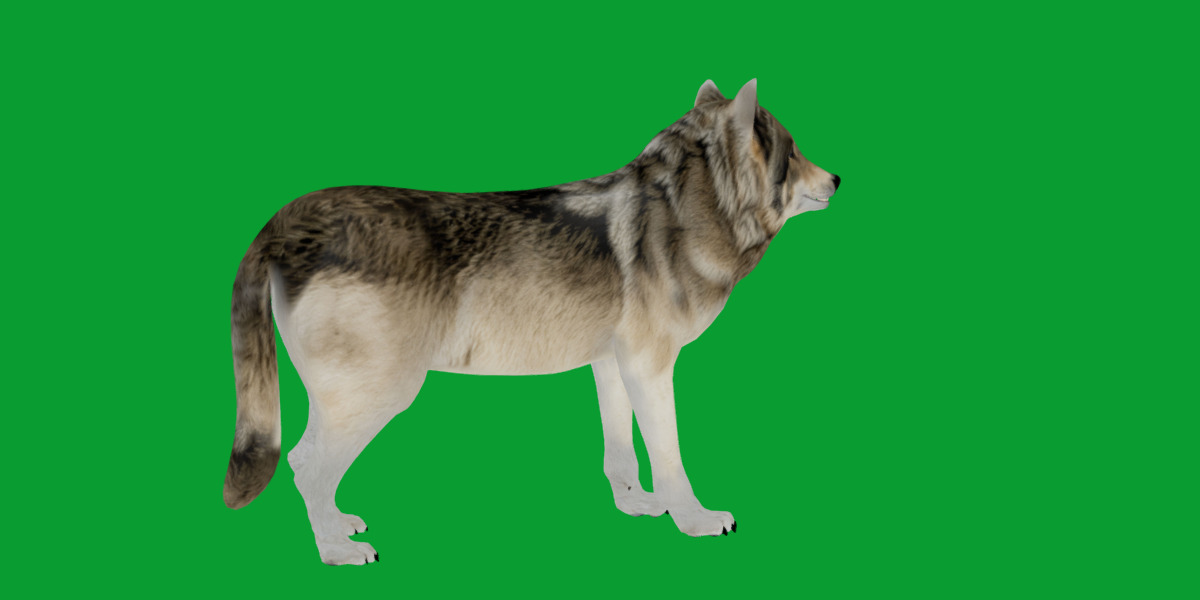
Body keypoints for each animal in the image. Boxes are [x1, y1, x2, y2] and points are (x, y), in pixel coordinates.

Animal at [223, 79, 840, 565]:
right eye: (795, 152)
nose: (837, 178)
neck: (692, 209)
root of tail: (285, 219)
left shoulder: (612, 366)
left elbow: (620, 453)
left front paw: (635, 505)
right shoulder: (651, 368)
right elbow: (670, 458)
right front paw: (693, 520)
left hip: (348, 401)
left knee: (304, 462)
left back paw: (338, 526)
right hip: (378, 396)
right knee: (308, 466)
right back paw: (336, 551)